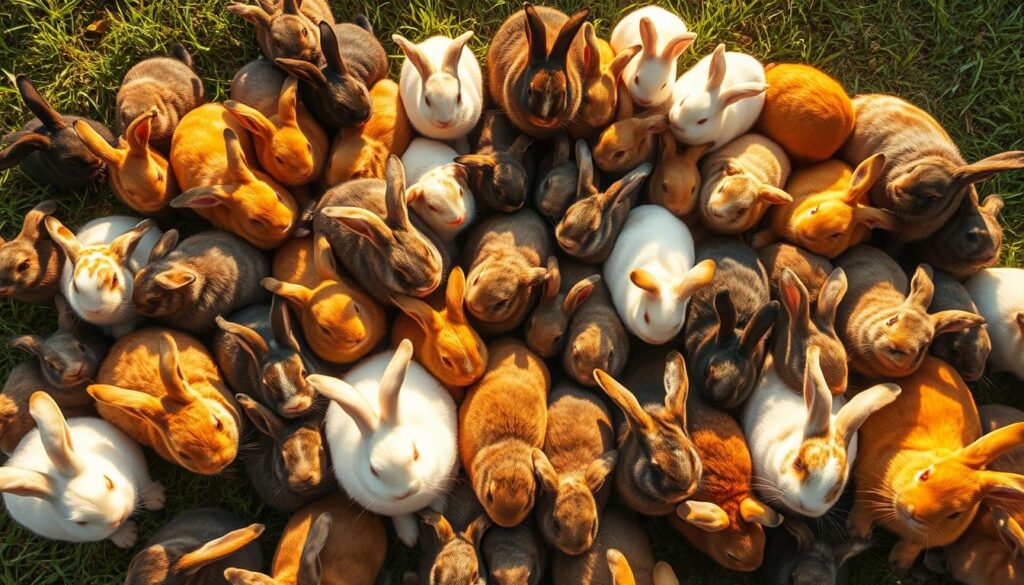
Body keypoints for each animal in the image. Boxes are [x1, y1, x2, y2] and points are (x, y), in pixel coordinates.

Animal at [0, 392, 164, 548]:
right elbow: (109, 534)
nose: (119, 517)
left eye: (109, 482)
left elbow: (143, 480)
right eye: (81, 523)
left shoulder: (133, 458)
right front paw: (127, 538)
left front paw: (156, 500)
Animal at [309, 340, 459, 547]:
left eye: (415, 453)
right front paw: (409, 537)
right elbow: (401, 516)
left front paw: (439, 509)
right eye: (374, 471)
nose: (403, 493)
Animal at [847, 356, 1024, 573]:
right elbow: (862, 508)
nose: (912, 511)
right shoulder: (865, 483)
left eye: (956, 514)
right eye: (924, 474)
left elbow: (913, 545)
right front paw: (857, 533)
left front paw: (899, 564)